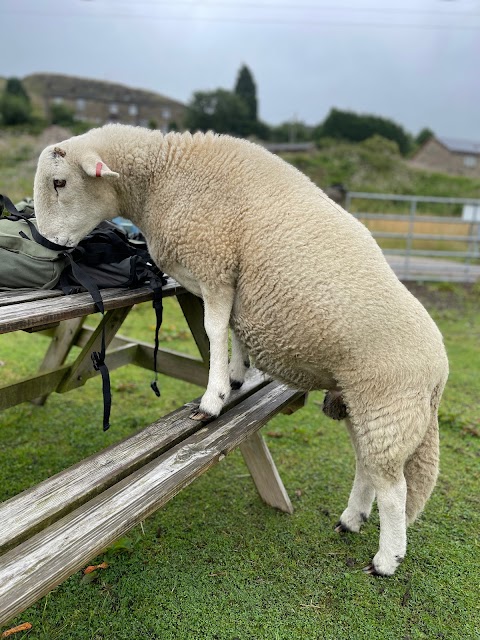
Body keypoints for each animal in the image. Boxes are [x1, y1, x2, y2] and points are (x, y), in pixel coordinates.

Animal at [34, 122, 450, 576]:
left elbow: (215, 330)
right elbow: (233, 331)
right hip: (361, 405)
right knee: (367, 466)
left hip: (388, 407)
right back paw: (351, 519)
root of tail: (440, 369)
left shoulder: (213, 262)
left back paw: (386, 559)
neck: (163, 174)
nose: (49, 244)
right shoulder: (233, 284)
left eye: (60, 182)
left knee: (393, 487)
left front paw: (212, 399)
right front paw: (235, 376)